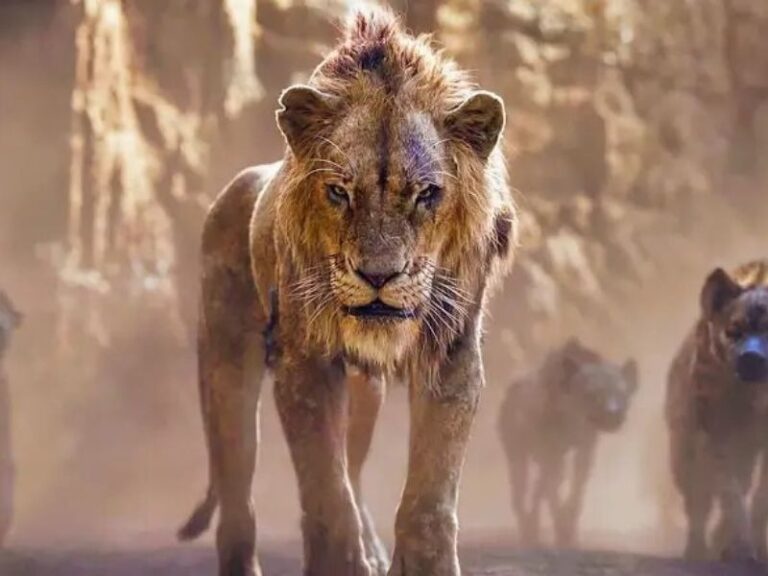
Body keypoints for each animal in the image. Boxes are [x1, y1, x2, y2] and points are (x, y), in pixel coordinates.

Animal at [177, 8, 515, 576]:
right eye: (339, 192)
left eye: (427, 194)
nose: (379, 276)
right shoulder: (305, 363)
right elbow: (326, 495)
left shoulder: (452, 355)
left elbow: (428, 500)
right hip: (226, 365)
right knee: (238, 498)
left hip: (364, 394)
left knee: (353, 471)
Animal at [498, 338, 637, 548]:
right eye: (591, 393)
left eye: (622, 394)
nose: (613, 415)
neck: (572, 419)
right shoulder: (549, 450)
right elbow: (552, 491)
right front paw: (561, 531)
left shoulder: (586, 446)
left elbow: (576, 488)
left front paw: (569, 531)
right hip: (515, 451)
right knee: (520, 491)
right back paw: (528, 531)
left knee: (540, 486)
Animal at [667, 260, 768, 563]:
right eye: (734, 329)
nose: (751, 357)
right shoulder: (713, 427)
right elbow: (727, 490)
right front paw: (740, 551)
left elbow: (760, 496)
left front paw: (755, 550)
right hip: (682, 447)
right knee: (697, 498)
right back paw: (697, 551)